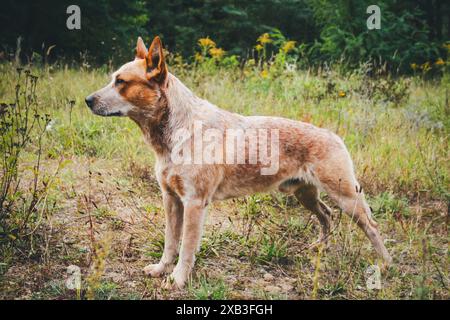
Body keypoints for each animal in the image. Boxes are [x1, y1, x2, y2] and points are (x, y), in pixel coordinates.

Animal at [86, 36, 392, 288]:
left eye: (121, 82)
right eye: (113, 79)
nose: (87, 99)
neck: (176, 132)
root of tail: (333, 135)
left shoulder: (194, 203)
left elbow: (186, 248)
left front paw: (178, 280)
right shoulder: (170, 199)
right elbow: (170, 242)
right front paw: (162, 269)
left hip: (346, 197)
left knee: (372, 226)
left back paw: (385, 264)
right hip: (304, 194)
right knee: (326, 215)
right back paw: (318, 248)